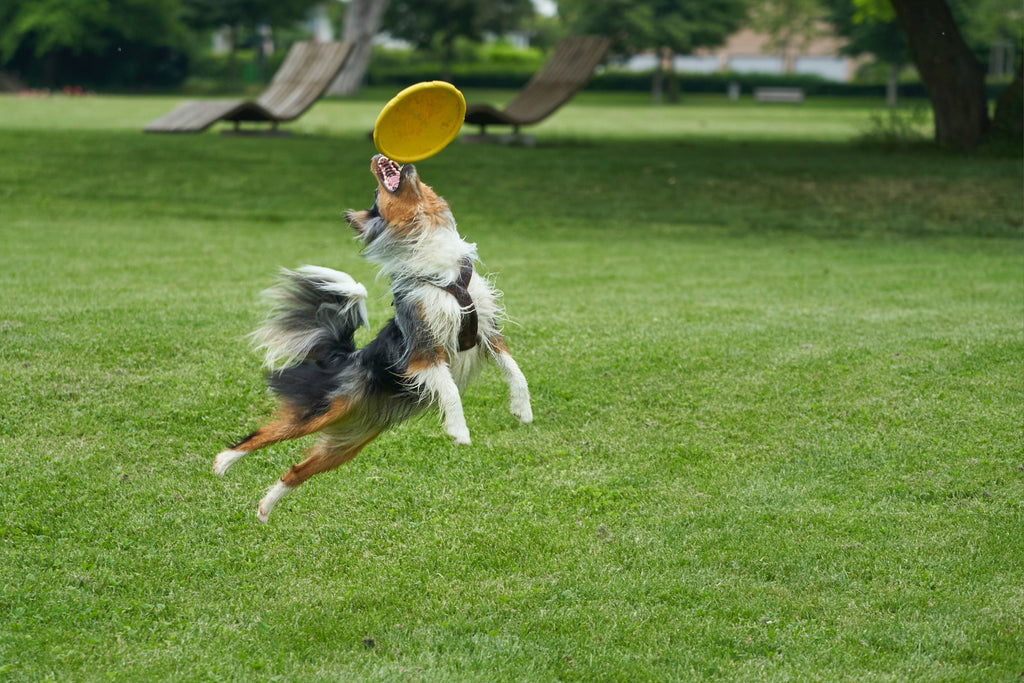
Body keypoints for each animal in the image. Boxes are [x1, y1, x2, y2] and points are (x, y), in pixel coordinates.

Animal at [210, 154, 532, 524]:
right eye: (377, 195)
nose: (386, 159)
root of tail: (345, 357)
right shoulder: (423, 350)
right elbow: (450, 390)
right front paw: (459, 431)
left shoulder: (487, 333)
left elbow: (516, 371)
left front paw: (522, 410)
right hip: (322, 410)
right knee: (264, 433)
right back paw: (223, 462)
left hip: (348, 443)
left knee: (296, 469)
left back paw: (265, 508)